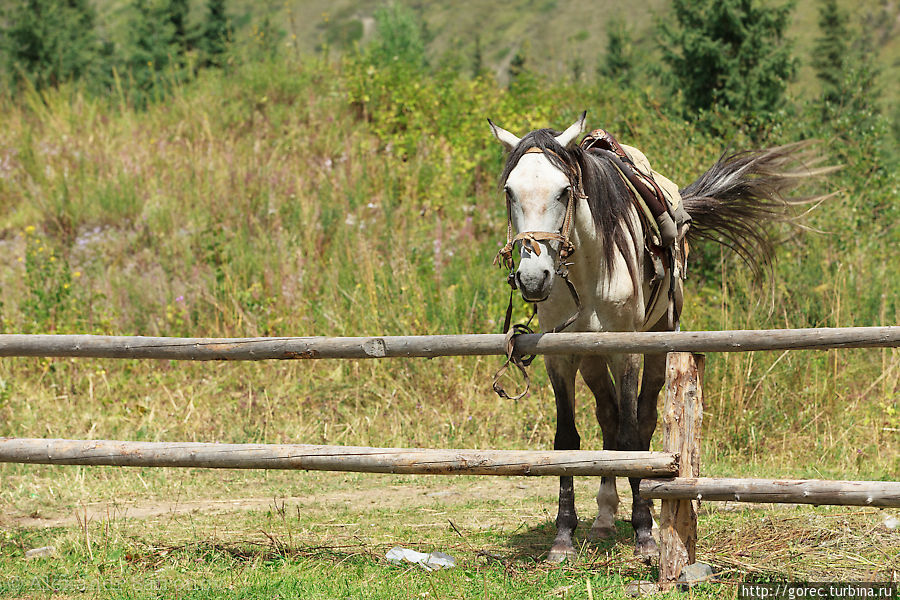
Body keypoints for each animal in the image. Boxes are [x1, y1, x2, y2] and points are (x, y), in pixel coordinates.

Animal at [488, 112, 828, 564]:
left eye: (564, 191)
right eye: (510, 191)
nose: (531, 277)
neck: (590, 267)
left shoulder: (629, 352)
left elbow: (634, 436)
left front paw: (645, 533)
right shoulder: (559, 356)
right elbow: (567, 440)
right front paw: (563, 537)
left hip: (656, 342)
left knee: (640, 420)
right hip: (592, 358)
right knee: (609, 418)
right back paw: (603, 517)